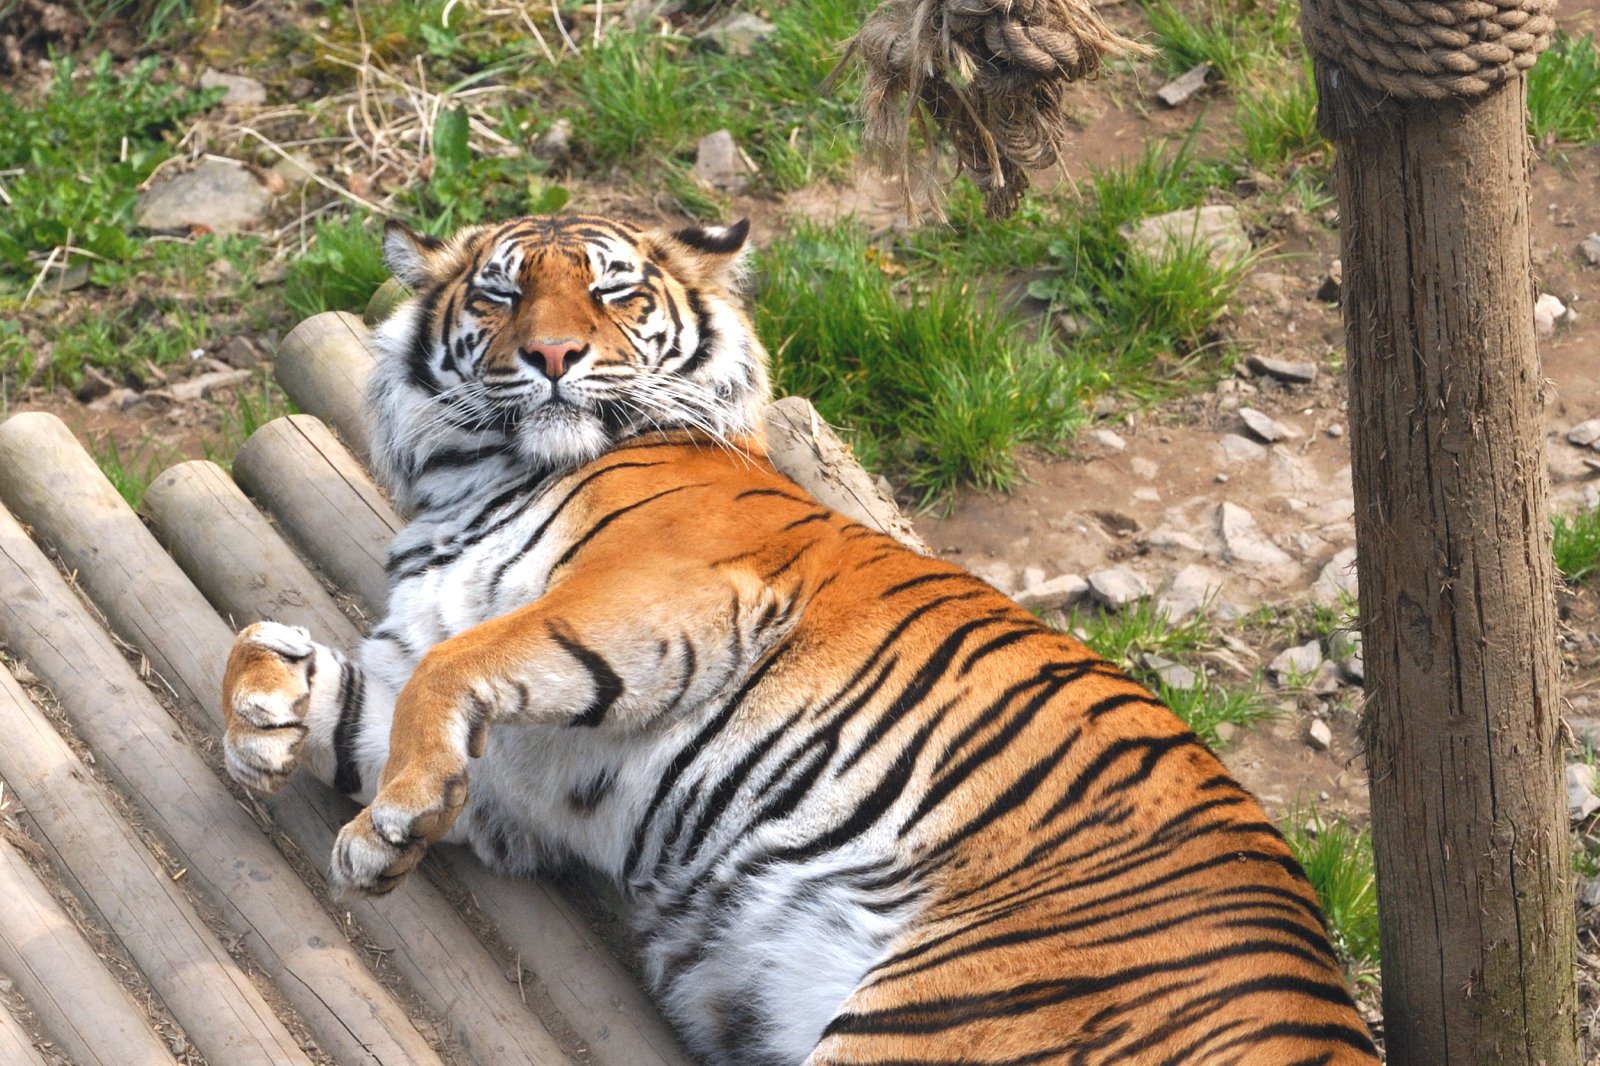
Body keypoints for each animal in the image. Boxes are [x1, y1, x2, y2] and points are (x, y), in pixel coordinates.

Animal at [219, 209, 1382, 1062]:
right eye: (501, 294)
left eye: (613, 290)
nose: (551, 354)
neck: (471, 479)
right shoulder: (515, 772)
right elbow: (264, 653)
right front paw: (267, 731)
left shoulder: (654, 595)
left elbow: (450, 668)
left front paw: (383, 830)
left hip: (938, 1019)